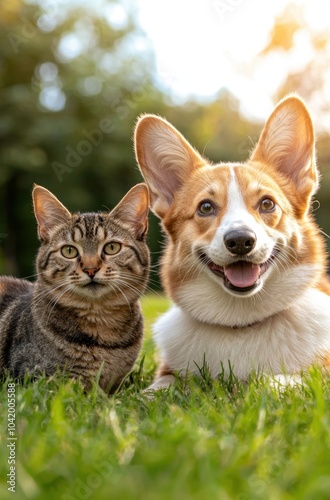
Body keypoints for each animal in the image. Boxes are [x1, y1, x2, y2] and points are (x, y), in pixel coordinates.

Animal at [133, 94, 330, 390]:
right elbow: (160, 386)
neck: (242, 321)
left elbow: (276, 382)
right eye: (205, 207)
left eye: (267, 204)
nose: (240, 241)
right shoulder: (167, 372)